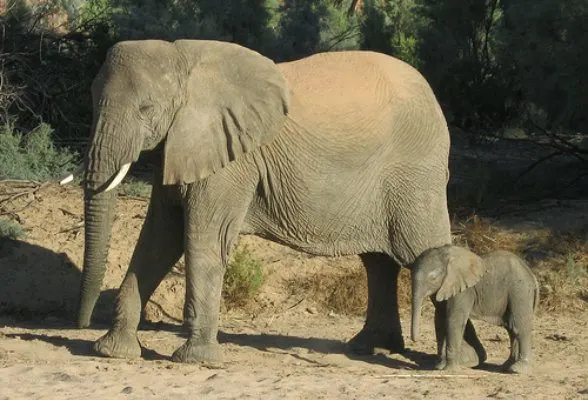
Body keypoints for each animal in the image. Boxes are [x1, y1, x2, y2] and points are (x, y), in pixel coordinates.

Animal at [74, 39, 478, 364]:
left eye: (146, 109)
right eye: (90, 100)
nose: (80, 323)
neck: (183, 57)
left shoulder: (232, 157)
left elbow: (202, 240)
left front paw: (195, 360)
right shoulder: (181, 145)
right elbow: (159, 238)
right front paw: (113, 351)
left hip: (414, 174)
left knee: (424, 252)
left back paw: (461, 360)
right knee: (379, 262)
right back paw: (372, 348)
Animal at [412, 245, 540, 374]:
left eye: (433, 278)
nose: (415, 340)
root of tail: (532, 276)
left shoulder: (463, 291)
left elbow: (453, 321)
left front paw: (449, 370)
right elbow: (440, 321)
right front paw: (439, 367)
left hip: (520, 291)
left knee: (518, 326)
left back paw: (518, 369)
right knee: (511, 329)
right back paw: (507, 366)